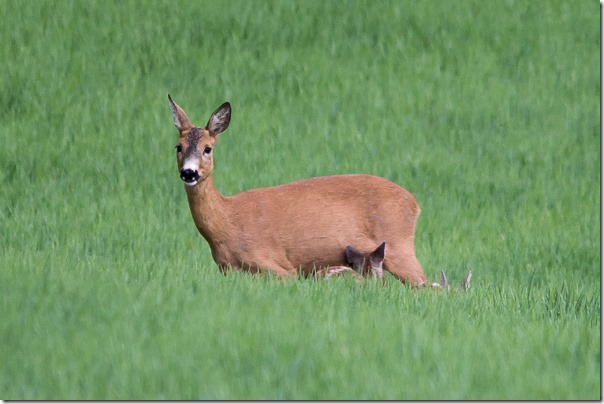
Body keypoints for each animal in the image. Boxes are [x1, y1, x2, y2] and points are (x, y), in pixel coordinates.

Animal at [168, 94, 428, 286]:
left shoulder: (277, 265)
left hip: (399, 244)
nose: (189, 173)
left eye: (208, 148)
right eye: (178, 146)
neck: (226, 224)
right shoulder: (227, 270)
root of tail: (414, 203)